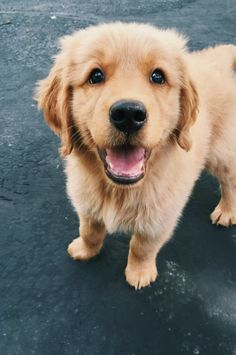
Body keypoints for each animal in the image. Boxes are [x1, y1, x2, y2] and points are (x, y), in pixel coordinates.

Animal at [35, 21, 236, 290]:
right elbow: (89, 229)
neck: (119, 189)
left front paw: (139, 273)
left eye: (158, 76)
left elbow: (142, 246)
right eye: (95, 76)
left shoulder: (160, 217)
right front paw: (85, 250)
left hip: (221, 154)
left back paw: (227, 211)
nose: (128, 114)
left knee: (229, 182)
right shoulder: (86, 200)